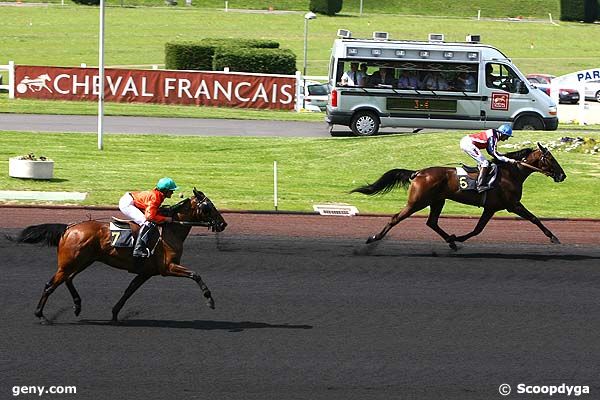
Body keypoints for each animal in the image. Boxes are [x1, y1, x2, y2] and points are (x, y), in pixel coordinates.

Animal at [11, 189, 227, 324]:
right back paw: (41, 315)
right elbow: (196, 274)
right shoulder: (168, 267)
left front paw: (115, 313)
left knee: (68, 279)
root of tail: (69, 228)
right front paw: (210, 300)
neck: (170, 229)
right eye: (208, 206)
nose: (223, 224)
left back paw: (77, 305)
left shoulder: (146, 272)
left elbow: (129, 291)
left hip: (82, 261)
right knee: (51, 284)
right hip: (70, 263)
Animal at [350, 143, 564, 250]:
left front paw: (458, 237)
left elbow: (478, 229)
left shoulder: (491, 207)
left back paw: (451, 241)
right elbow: (535, 219)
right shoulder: (513, 205)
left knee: (432, 222)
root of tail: (418, 173)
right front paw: (553, 237)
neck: (510, 173)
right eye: (550, 159)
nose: (563, 176)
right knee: (396, 218)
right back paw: (374, 237)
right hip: (417, 202)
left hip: (437, 201)